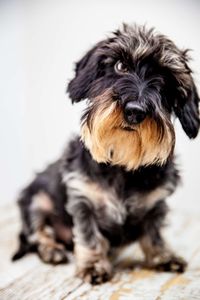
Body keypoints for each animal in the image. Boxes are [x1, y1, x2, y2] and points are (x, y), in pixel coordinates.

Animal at [13, 24, 199, 284]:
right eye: (120, 66)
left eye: (165, 80)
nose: (135, 111)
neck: (121, 162)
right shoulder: (82, 200)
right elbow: (89, 235)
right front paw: (93, 265)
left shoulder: (156, 203)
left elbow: (153, 233)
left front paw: (163, 256)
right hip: (36, 200)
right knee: (37, 234)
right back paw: (52, 250)